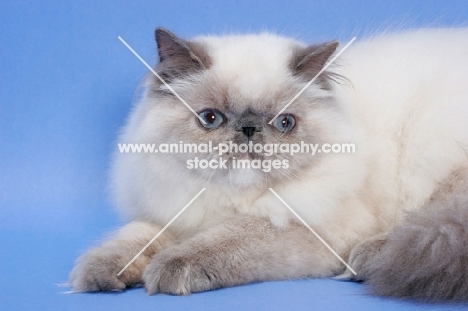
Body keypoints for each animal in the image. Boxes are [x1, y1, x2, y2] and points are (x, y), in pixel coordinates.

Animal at [69, 27, 468, 302]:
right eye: (210, 118)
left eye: (284, 122)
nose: (248, 129)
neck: (229, 201)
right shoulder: (174, 212)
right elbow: (134, 239)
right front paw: (98, 273)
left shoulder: (304, 224)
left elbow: (224, 240)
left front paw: (168, 269)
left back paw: (369, 259)